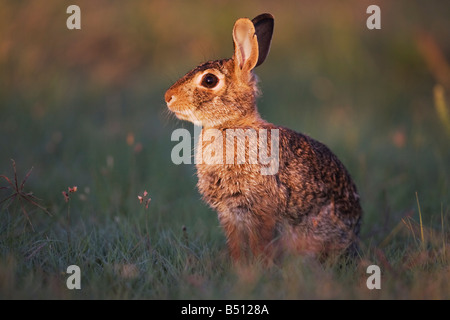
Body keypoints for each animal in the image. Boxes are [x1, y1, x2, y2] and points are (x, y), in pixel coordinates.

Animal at [165, 13, 362, 262]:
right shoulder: (230, 214)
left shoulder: (260, 210)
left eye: (209, 81)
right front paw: (239, 266)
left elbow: (259, 243)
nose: (168, 97)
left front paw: (258, 267)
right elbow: (237, 244)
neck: (231, 126)